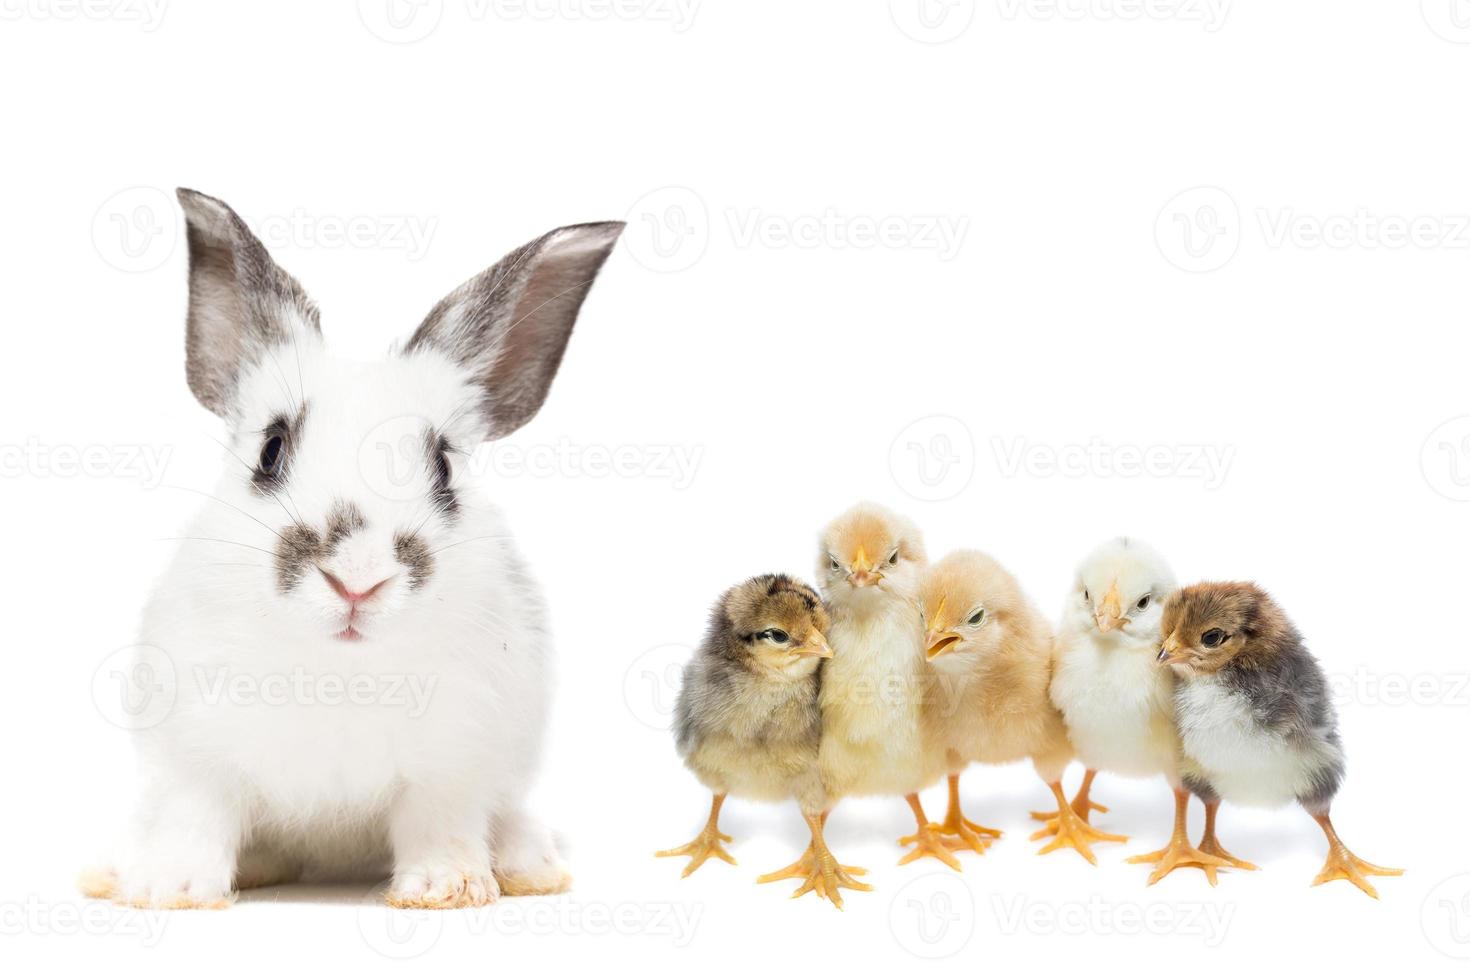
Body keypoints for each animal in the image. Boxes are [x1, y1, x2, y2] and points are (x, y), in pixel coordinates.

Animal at [81, 188, 620, 910]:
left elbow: (439, 823)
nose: (358, 577)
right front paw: (171, 888)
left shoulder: (453, 764)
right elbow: (195, 818)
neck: (340, 671)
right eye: (270, 450)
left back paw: (529, 869)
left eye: (442, 468)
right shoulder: (196, 757)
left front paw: (446, 887)